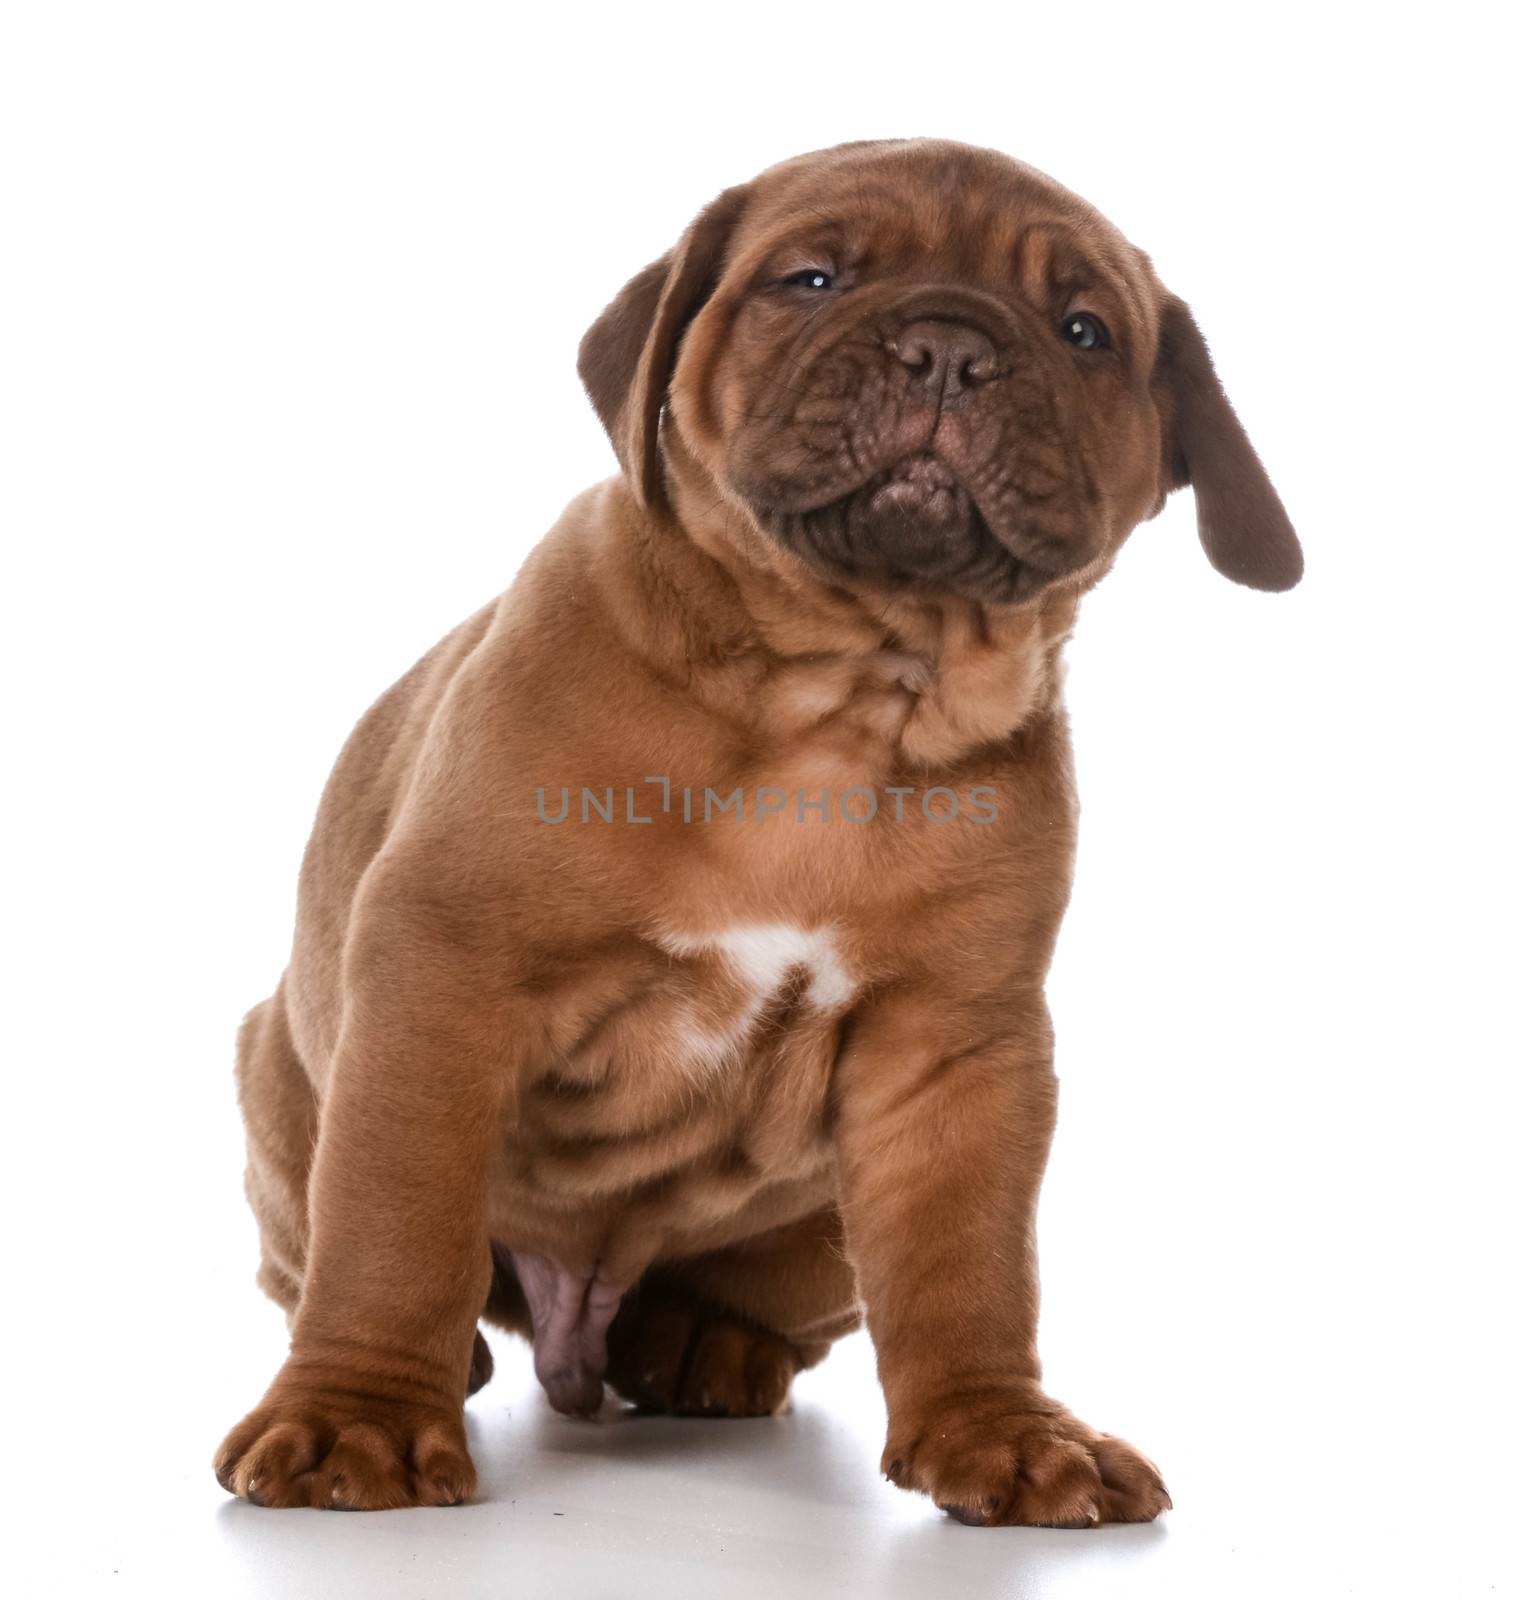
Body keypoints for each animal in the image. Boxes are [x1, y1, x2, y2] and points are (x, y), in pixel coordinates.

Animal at [214, 140, 1305, 1523]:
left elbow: (968, 1266)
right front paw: (355, 1416)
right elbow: (398, 1216)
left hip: (816, 1231)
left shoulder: (957, 1050)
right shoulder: (442, 971)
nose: (950, 349)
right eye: (812, 278)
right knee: (330, 1251)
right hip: (273, 1078)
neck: (838, 694)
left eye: (1083, 330)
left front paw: (1003, 1433)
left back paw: (703, 1342)